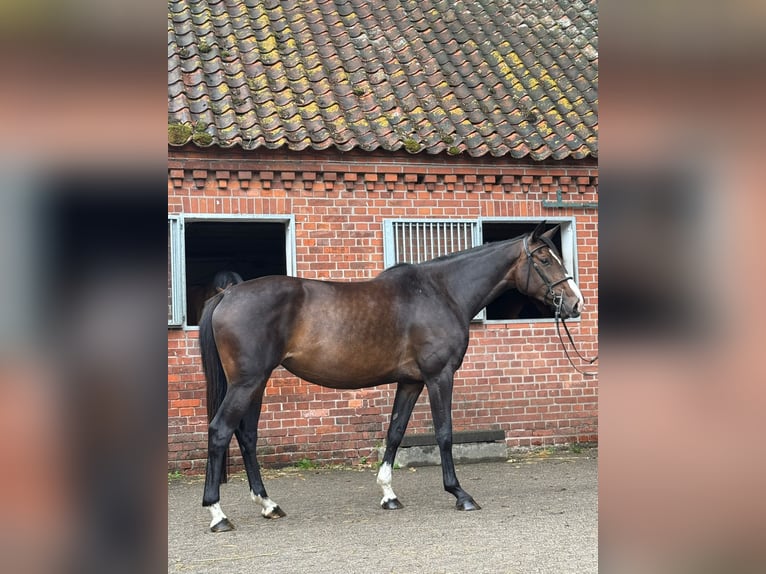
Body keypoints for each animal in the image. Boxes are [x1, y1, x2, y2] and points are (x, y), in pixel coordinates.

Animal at [198, 221, 584, 532]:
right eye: (545, 260)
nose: (576, 304)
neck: (440, 292)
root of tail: (228, 294)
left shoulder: (411, 381)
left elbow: (395, 431)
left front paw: (388, 494)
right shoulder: (439, 376)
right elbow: (444, 433)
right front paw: (460, 494)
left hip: (256, 383)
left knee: (247, 436)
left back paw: (268, 505)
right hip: (246, 383)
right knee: (220, 431)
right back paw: (218, 514)